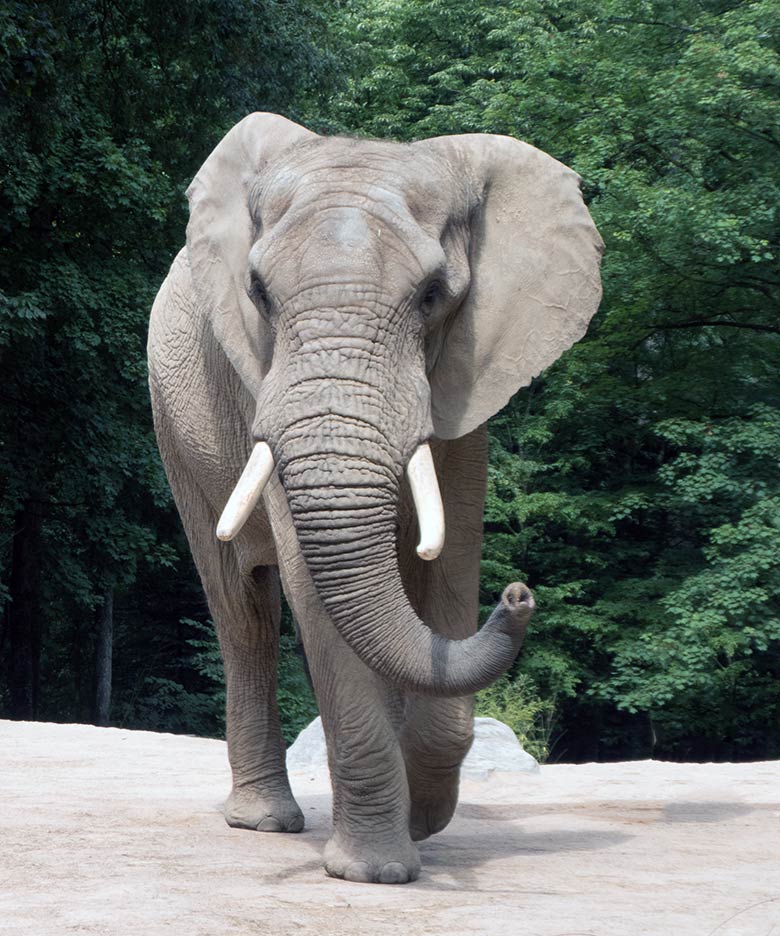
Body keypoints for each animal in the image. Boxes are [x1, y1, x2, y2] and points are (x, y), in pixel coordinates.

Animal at [148, 113, 604, 880]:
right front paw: (377, 871)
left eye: (433, 295)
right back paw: (265, 822)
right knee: (242, 606)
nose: (519, 595)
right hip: (173, 419)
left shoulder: (466, 381)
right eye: (257, 292)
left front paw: (420, 823)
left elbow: (449, 560)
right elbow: (313, 590)